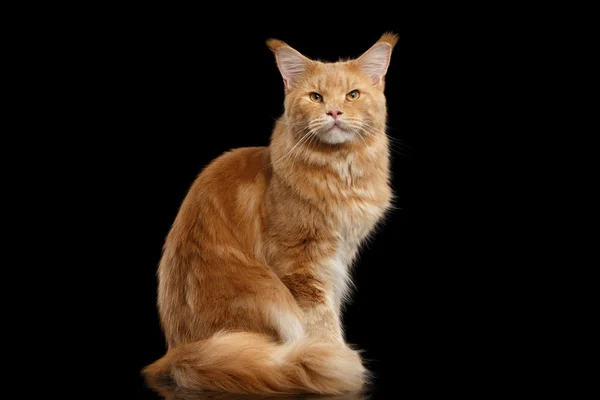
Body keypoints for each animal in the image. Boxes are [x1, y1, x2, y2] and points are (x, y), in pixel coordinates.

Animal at [143, 32, 398, 396]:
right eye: (315, 97)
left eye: (353, 95)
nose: (334, 111)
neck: (340, 171)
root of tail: (178, 352)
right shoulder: (300, 261)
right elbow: (321, 319)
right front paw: (334, 355)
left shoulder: (338, 257)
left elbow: (331, 308)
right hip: (267, 293)